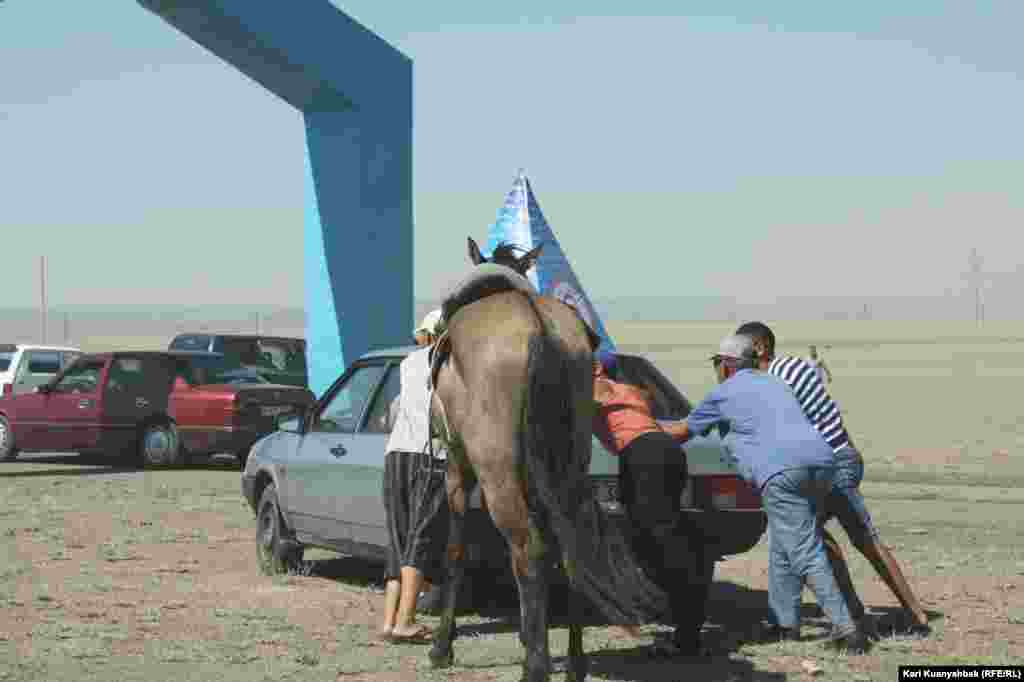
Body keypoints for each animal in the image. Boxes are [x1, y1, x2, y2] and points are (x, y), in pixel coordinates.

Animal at [428, 237, 667, 679]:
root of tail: (538, 326)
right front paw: (528, 634)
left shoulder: (457, 465)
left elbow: (456, 551)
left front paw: (442, 647)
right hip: (568, 464)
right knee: (568, 552)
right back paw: (573, 662)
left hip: (498, 475)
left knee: (529, 550)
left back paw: (535, 667)